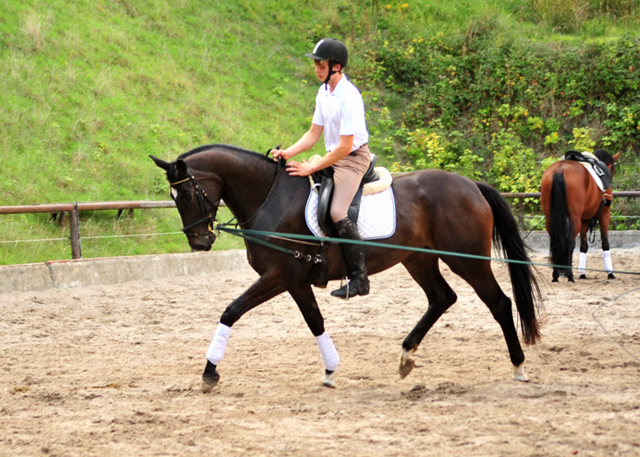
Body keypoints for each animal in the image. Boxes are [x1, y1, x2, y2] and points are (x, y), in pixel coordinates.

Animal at [150, 144, 540, 390]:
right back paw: (405, 356)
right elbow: (315, 321)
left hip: (466, 259)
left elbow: (231, 311)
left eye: (187, 195)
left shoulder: (280, 275)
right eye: (173, 197)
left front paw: (209, 372)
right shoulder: (295, 279)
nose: (200, 242)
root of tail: (470, 184)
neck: (269, 197)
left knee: (499, 302)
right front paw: (330, 370)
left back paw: (519, 366)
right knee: (442, 298)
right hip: (418, 258)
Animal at [540, 148, 620, 282]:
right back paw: (569, 275)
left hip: (550, 217)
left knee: (555, 241)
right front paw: (610, 273)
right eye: (613, 169)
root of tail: (560, 169)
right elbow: (605, 243)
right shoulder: (604, 215)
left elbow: (584, 246)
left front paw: (582, 274)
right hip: (575, 218)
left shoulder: (585, 219)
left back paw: (556, 274)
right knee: (570, 242)